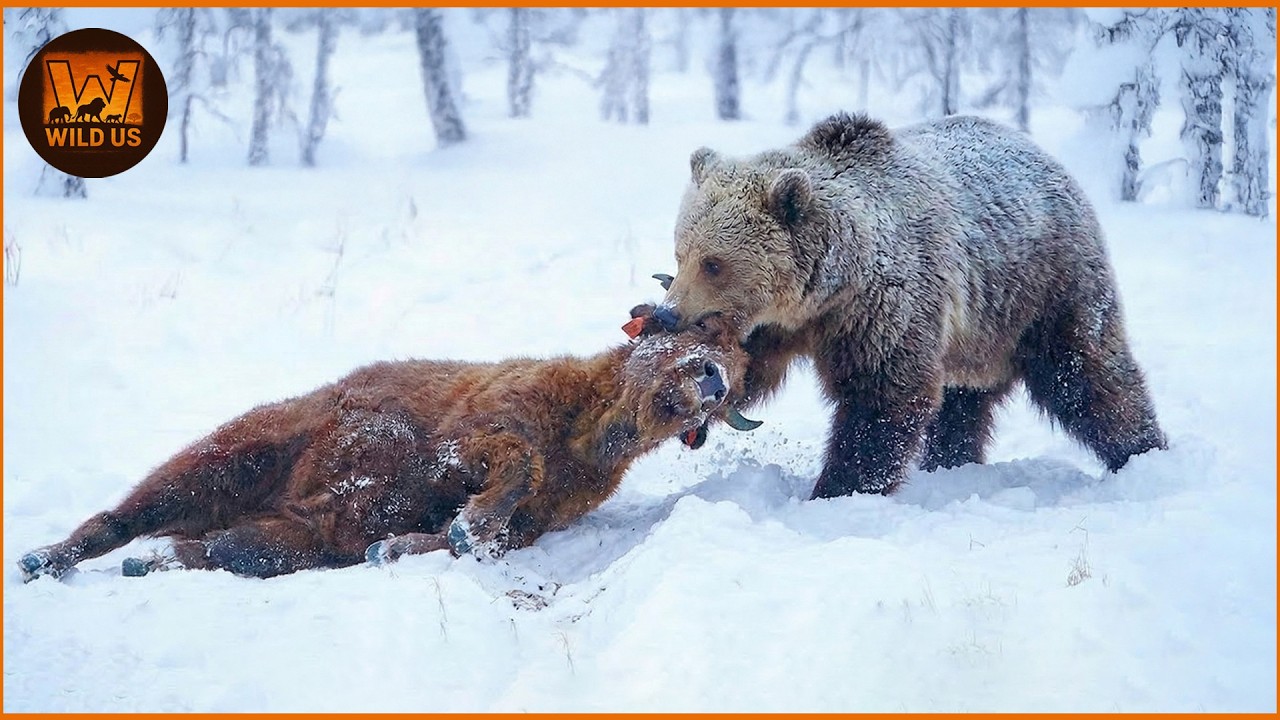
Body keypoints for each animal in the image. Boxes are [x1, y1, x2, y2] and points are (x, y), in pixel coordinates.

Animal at [18, 306, 747, 581]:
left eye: (739, 371)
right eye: (696, 333)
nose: (713, 379)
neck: (587, 430)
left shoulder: (538, 521)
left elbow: (480, 533)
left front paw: (403, 544)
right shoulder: (474, 434)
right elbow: (514, 465)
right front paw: (464, 525)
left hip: (290, 530)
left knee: (231, 547)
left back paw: (161, 560)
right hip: (234, 456)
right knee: (130, 514)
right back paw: (46, 557)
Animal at [654, 112, 1166, 498]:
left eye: (714, 263)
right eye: (681, 253)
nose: (666, 313)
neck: (830, 287)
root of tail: (1048, 158)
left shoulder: (885, 306)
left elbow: (883, 395)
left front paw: (839, 488)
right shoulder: (779, 325)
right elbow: (749, 371)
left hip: (1045, 290)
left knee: (1087, 374)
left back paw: (1142, 451)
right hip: (976, 334)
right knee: (963, 405)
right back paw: (951, 463)